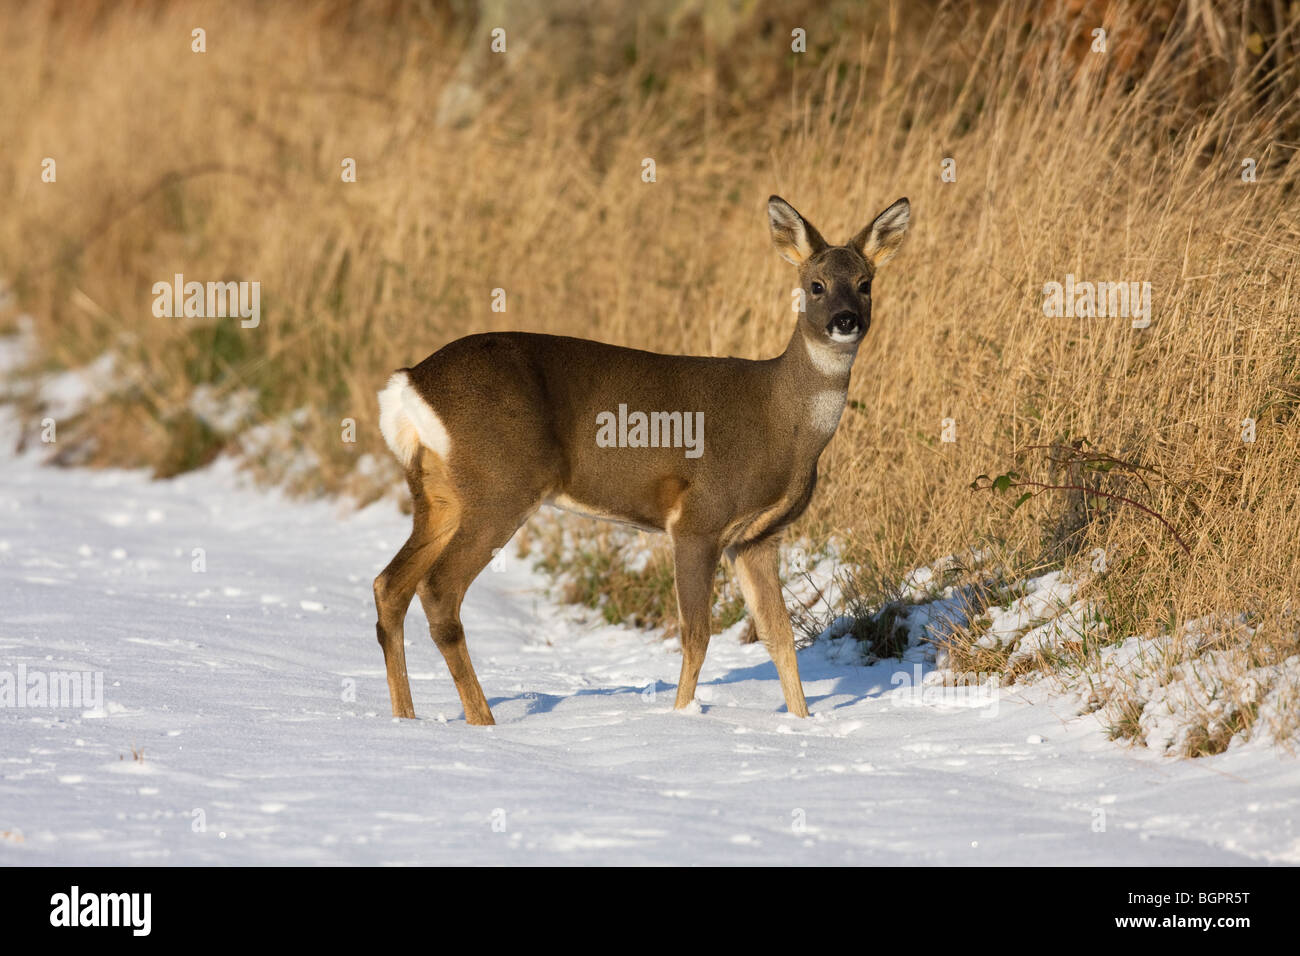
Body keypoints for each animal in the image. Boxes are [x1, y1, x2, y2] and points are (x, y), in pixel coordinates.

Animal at [371, 195, 909, 723]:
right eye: (816, 285)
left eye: (865, 283)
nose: (846, 320)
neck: (781, 421)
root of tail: (408, 383)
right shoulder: (698, 519)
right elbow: (696, 635)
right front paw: (681, 716)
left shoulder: (757, 538)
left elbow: (780, 637)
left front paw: (802, 722)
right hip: (501, 484)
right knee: (438, 590)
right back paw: (482, 720)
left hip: (439, 493)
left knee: (389, 584)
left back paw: (405, 717)